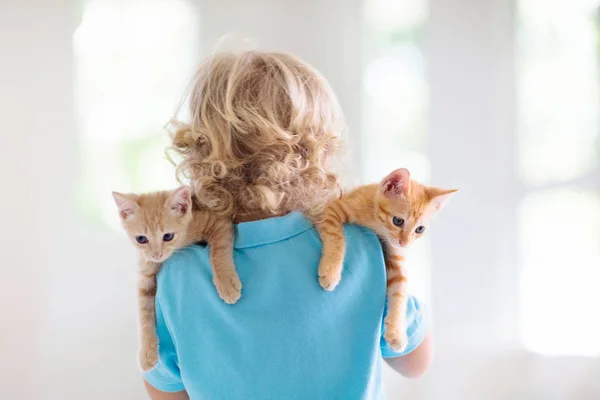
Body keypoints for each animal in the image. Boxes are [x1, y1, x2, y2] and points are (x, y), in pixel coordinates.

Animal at [110, 186, 241, 370]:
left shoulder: (218, 221)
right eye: (141, 239)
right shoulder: (145, 273)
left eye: (168, 236)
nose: (157, 255)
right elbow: (143, 310)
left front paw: (226, 282)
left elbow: (219, 249)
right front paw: (147, 350)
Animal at [314, 168, 454, 350]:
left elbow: (400, 290)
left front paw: (396, 331)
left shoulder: (396, 255)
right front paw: (331, 271)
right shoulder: (332, 209)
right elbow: (336, 237)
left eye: (420, 229)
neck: (377, 222)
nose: (405, 243)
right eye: (398, 221)